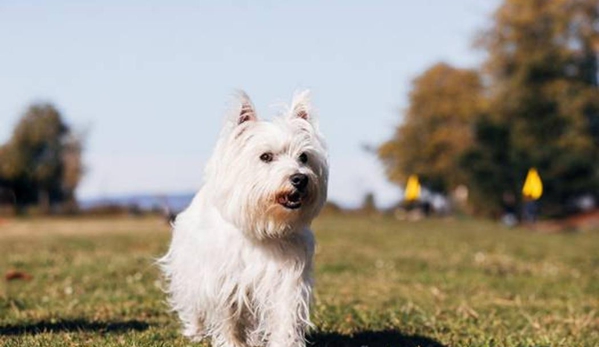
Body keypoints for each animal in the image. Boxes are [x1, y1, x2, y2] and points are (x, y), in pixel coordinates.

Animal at [158, 91, 328, 346]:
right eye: (266, 156)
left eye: (304, 157)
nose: (300, 179)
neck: (262, 227)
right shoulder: (222, 282)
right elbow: (228, 321)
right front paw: (231, 343)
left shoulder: (286, 281)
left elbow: (285, 318)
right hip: (188, 271)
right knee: (192, 303)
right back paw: (195, 332)